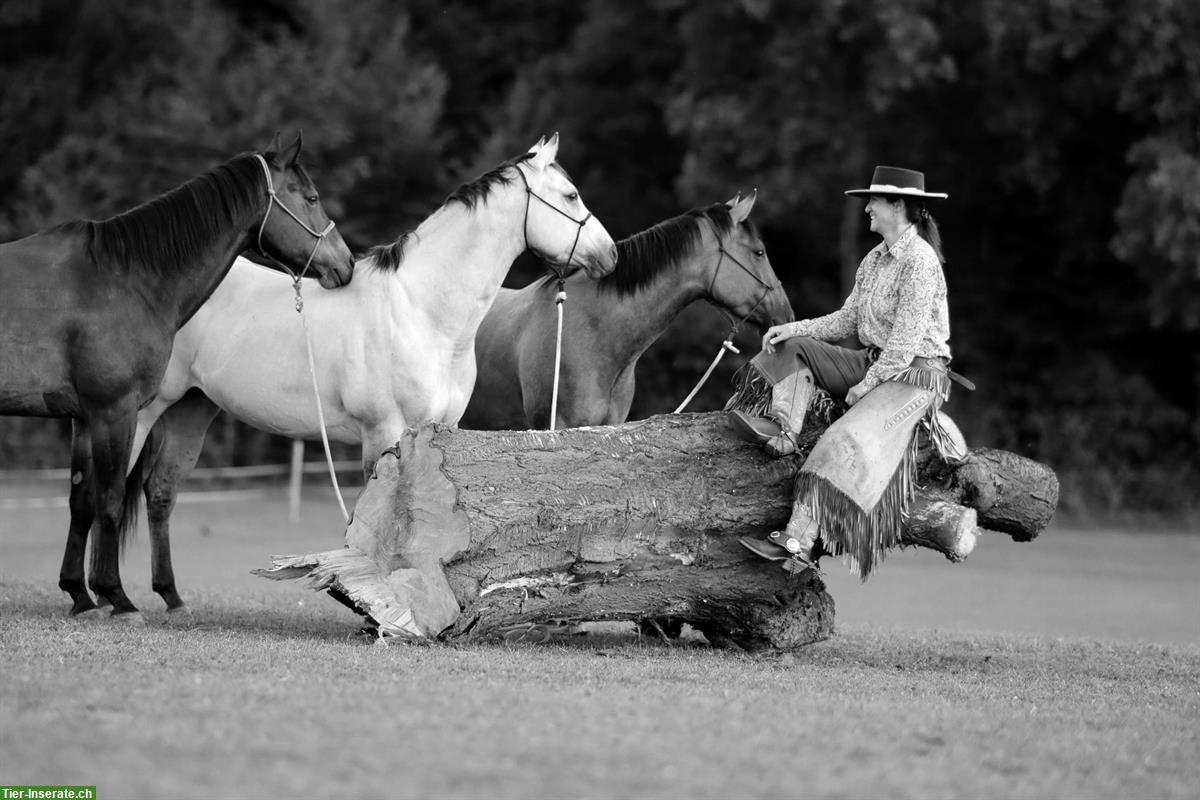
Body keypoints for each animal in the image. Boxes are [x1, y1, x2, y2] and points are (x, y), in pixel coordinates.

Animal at [0, 133, 355, 618]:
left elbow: (82, 501)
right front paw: (117, 597)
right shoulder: (114, 412)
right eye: (312, 197)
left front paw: (80, 595)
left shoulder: (84, 418)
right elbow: (110, 500)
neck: (126, 278)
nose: (346, 263)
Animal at [63, 134, 619, 614]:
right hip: (139, 412)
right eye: (570, 195)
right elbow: (378, 521)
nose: (610, 254)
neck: (420, 310)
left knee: (158, 493)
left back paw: (168, 598)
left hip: (192, 409)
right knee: (104, 490)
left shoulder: (439, 432)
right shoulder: (384, 434)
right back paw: (101, 596)